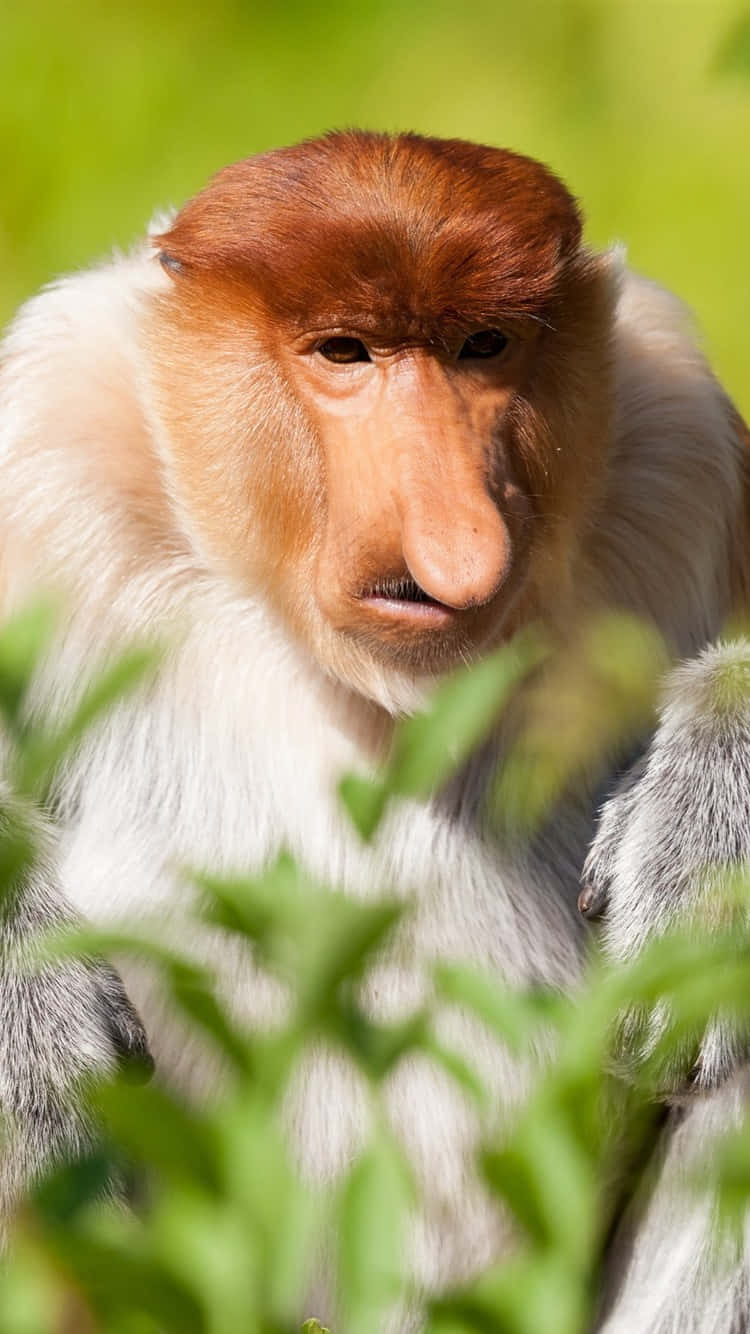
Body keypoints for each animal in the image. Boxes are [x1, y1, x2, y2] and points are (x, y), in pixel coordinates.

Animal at [0, 129, 749, 1332]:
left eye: (483, 346)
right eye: (345, 351)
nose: (457, 544)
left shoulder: (684, 450)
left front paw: (704, 824)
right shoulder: (41, 444)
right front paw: (33, 1028)